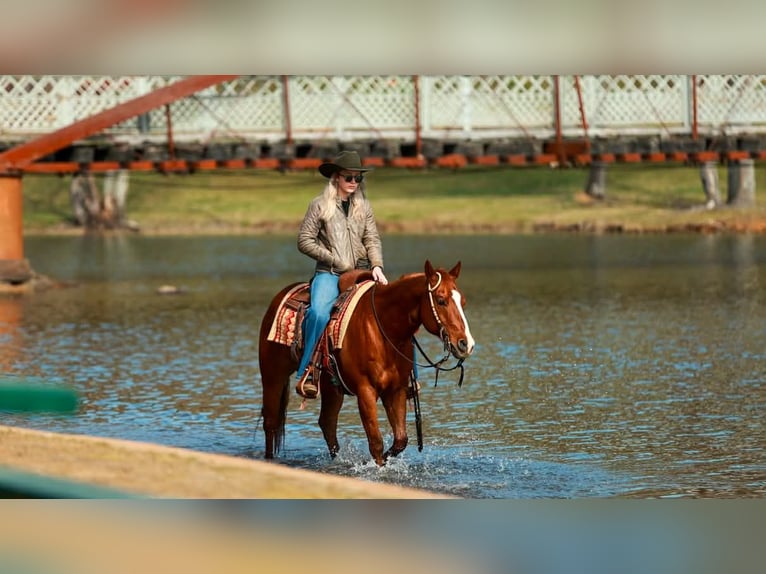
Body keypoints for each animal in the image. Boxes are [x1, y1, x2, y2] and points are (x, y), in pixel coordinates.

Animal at [257, 260, 475, 466]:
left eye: (463, 302)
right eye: (441, 300)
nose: (466, 344)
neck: (384, 329)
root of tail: (282, 295)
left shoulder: (396, 390)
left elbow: (401, 439)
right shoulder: (366, 392)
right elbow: (376, 442)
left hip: (331, 386)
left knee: (327, 423)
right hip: (273, 376)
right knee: (271, 422)